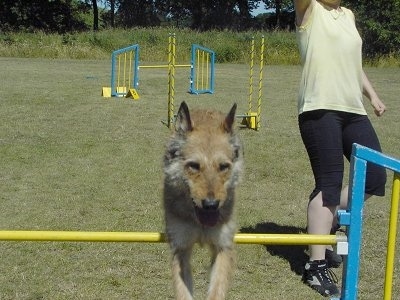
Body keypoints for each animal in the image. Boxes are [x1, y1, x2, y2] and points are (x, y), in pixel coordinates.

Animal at [162, 102, 244, 298]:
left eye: (223, 166)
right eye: (193, 166)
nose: (211, 205)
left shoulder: (223, 246)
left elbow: (216, 291)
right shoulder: (181, 247)